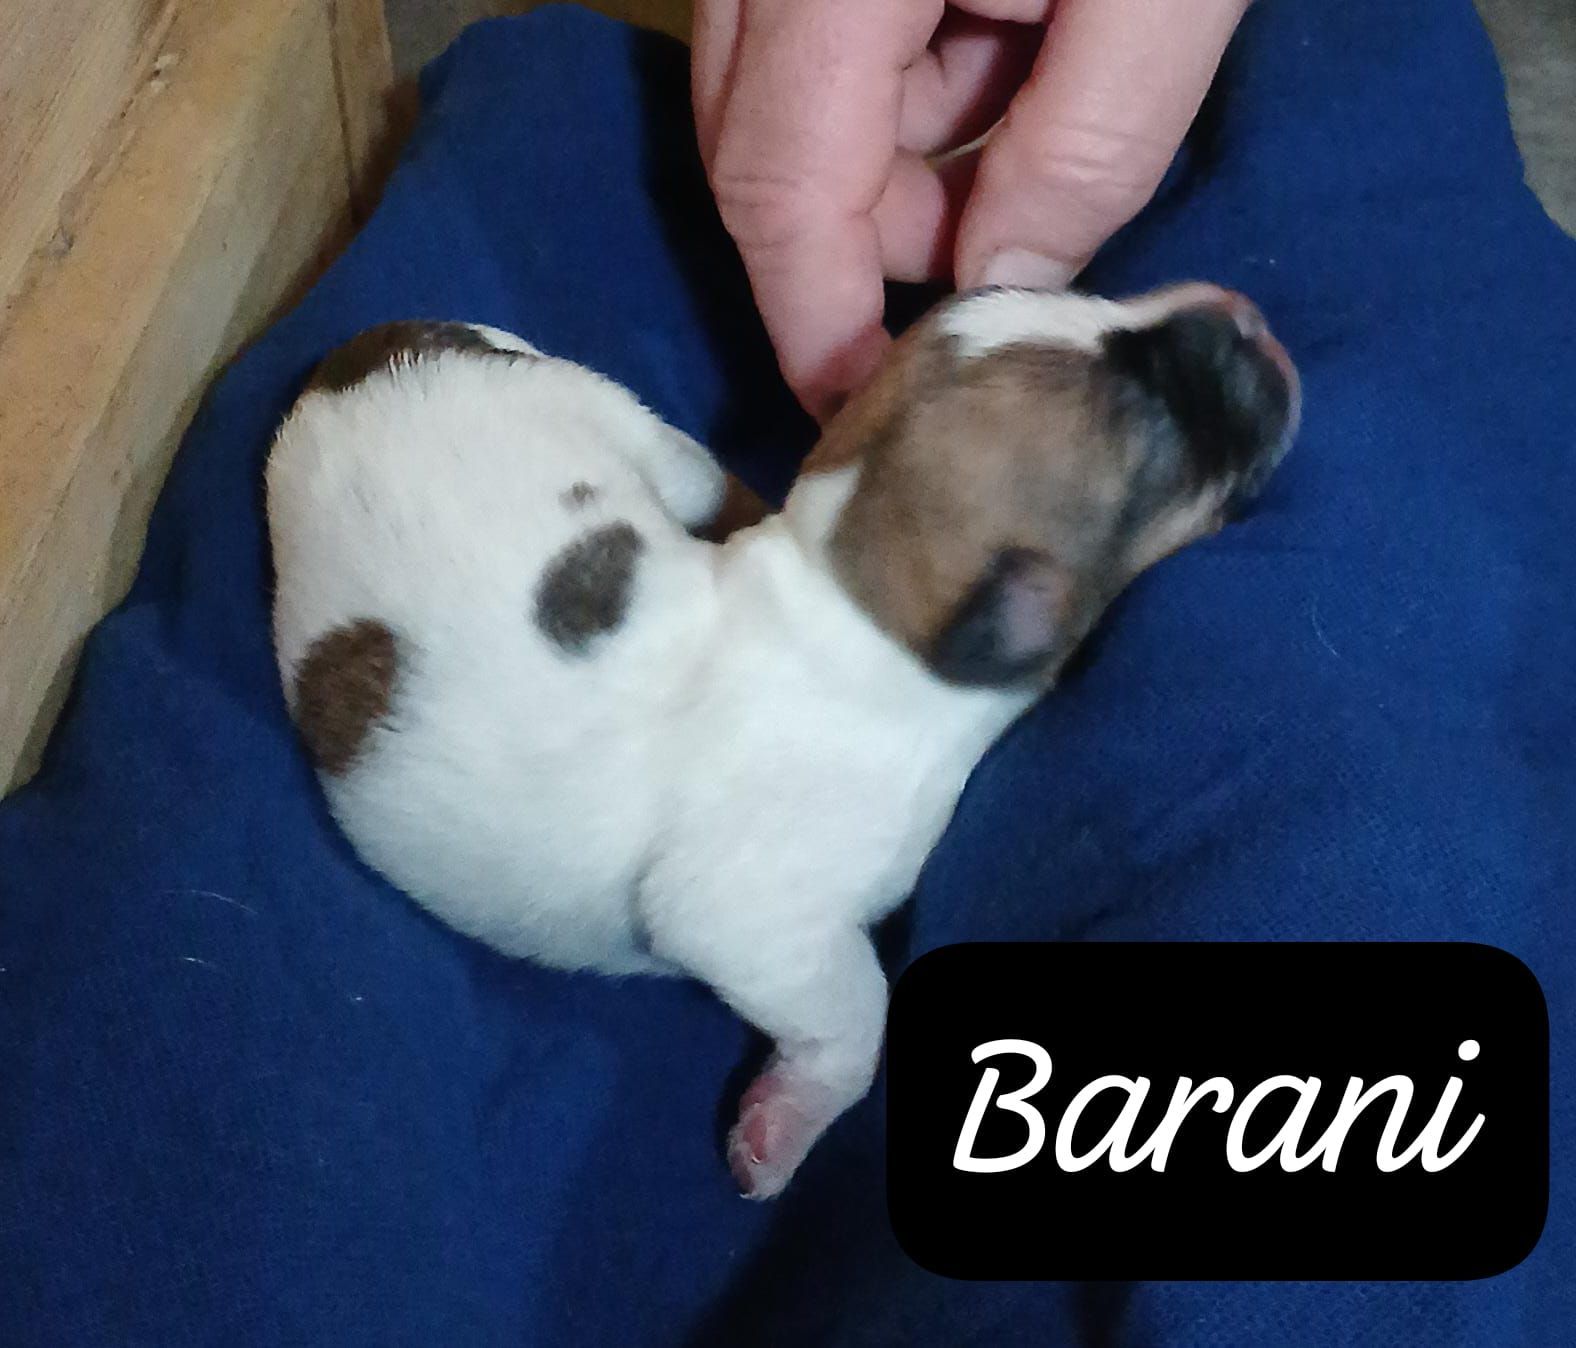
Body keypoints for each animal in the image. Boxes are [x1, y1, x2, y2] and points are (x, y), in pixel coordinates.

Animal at [266, 283, 1299, 1198]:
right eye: (1162, 418)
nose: (1242, 315)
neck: (845, 598)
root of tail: (366, 360)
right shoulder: (750, 914)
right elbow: (859, 1008)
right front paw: (788, 1117)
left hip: (614, 420)